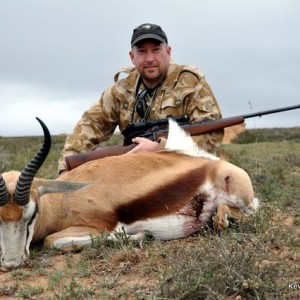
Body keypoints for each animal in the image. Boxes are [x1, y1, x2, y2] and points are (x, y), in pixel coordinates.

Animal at [0, 118, 258, 270]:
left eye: (31, 214)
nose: (11, 263)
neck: (63, 200)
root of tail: (211, 162)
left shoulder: (100, 226)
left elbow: (51, 241)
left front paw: (136, 236)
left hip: (242, 200)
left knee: (246, 212)